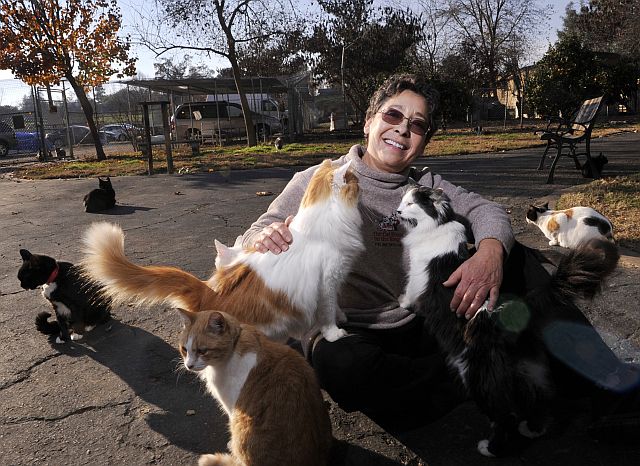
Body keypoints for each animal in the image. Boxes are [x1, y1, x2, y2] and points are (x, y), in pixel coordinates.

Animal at [80, 160, 362, 342]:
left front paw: (343, 317)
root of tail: (207, 290)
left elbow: (336, 306)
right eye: (356, 183)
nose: (361, 184)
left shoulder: (335, 280)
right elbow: (327, 313)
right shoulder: (327, 283)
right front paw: (335, 333)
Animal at [178, 310, 332, 466]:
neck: (234, 348)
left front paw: (230, 445)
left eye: (202, 351)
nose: (189, 365)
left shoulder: (232, 408)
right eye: (184, 349)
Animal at [396, 184, 620, 456]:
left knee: (505, 416)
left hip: (477, 377)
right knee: (538, 400)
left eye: (410, 204)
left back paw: (490, 448)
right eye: (403, 202)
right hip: (528, 371)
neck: (438, 224)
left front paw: (400, 303)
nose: (397, 212)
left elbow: (408, 295)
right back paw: (533, 430)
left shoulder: (416, 281)